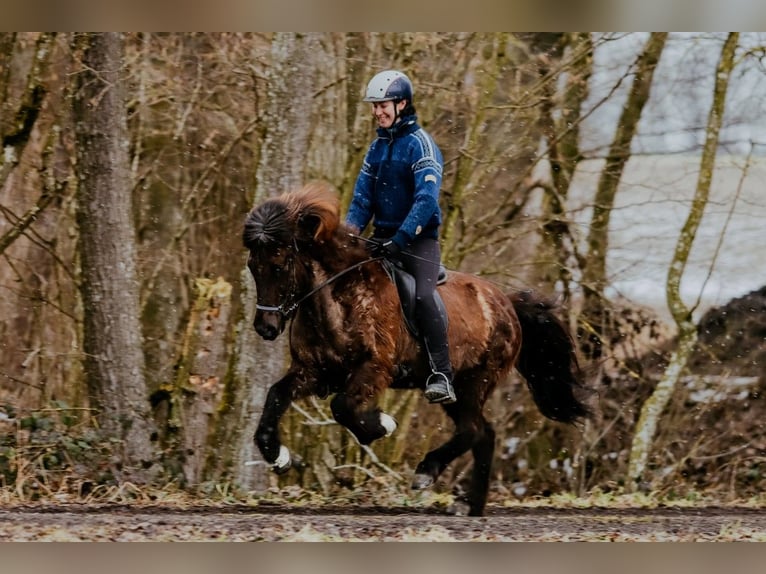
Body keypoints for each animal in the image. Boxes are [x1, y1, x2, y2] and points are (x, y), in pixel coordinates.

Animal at [242, 181, 590, 516]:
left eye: (278, 265)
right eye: (252, 267)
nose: (265, 327)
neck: (340, 296)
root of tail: (507, 303)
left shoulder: (374, 368)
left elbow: (342, 407)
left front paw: (381, 425)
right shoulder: (313, 371)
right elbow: (276, 396)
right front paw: (279, 456)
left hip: (475, 381)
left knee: (473, 430)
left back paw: (428, 471)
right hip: (460, 390)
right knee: (484, 433)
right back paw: (470, 505)